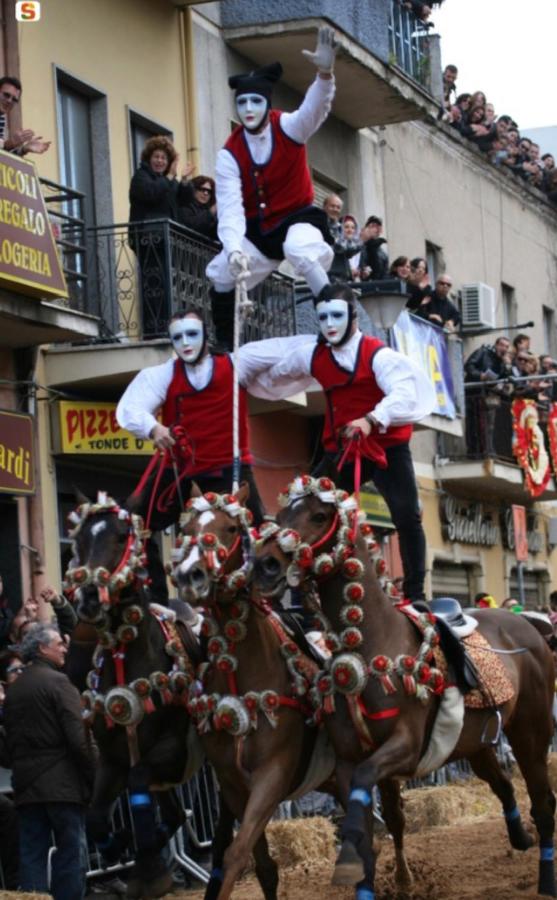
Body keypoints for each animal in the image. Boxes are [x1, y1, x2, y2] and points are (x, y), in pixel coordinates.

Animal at [172, 488, 332, 896]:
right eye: (188, 529)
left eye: (230, 528)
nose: (190, 574)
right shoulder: (231, 782)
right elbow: (257, 864)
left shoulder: (272, 774)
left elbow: (235, 854)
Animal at [253, 474, 556, 896]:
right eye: (280, 516)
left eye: (319, 515)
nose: (265, 564)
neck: (368, 647)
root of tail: (529, 626)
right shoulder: (348, 760)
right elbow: (367, 814)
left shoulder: (405, 746)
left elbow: (372, 791)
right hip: (476, 743)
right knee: (504, 785)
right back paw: (519, 836)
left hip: (531, 729)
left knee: (543, 802)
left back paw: (546, 877)